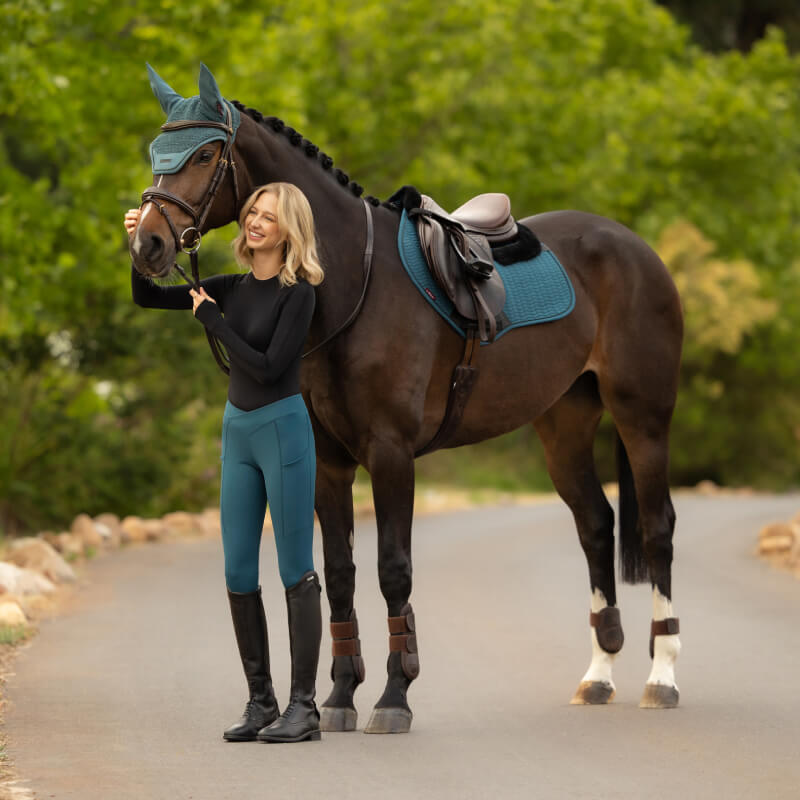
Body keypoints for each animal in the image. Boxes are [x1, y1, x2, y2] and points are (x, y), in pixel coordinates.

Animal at [130, 65, 683, 734]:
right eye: (157, 152)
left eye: (206, 154)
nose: (147, 245)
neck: (348, 284)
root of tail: (636, 248)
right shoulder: (329, 463)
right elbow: (339, 572)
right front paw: (340, 696)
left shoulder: (391, 454)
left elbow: (393, 569)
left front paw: (394, 696)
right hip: (564, 425)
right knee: (596, 525)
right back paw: (598, 676)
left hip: (642, 418)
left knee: (657, 528)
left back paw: (662, 677)